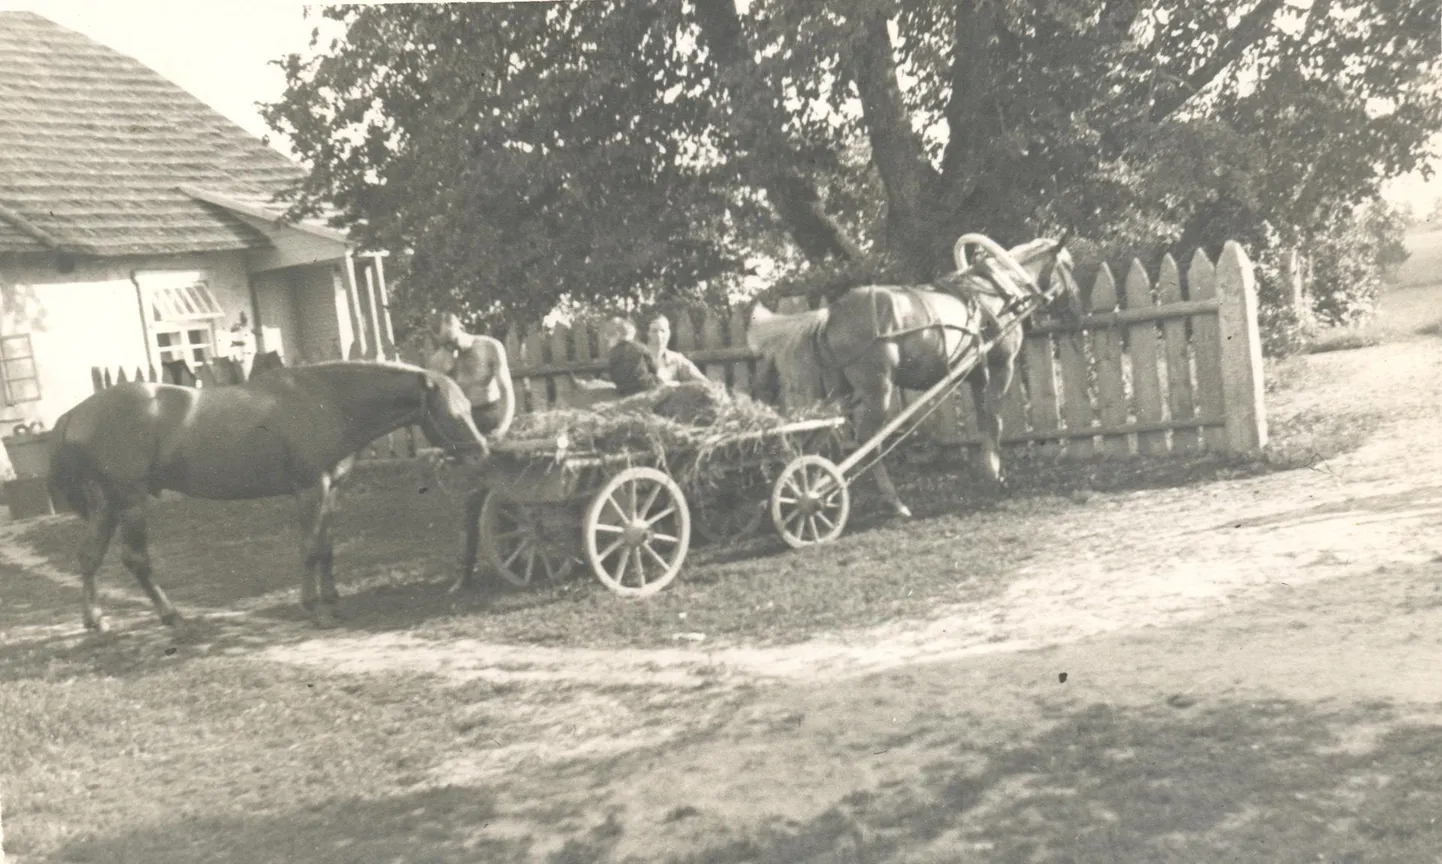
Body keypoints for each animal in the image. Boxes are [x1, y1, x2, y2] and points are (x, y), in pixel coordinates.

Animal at [46, 362, 490, 631]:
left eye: (469, 408)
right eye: (452, 413)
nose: (481, 453)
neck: (327, 403)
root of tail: (74, 414)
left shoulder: (333, 490)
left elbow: (327, 548)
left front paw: (333, 600)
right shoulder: (310, 489)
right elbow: (310, 549)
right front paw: (314, 609)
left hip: (106, 503)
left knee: (89, 557)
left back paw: (96, 620)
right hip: (130, 501)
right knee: (136, 559)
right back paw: (171, 616)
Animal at [749, 233, 1078, 516]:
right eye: (1069, 266)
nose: (1075, 305)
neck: (995, 293)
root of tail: (829, 313)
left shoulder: (977, 375)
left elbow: (986, 422)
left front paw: (991, 469)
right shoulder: (1002, 367)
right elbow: (995, 421)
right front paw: (995, 475)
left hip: (838, 395)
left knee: (817, 440)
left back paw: (806, 493)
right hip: (877, 393)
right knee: (869, 443)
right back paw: (891, 502)